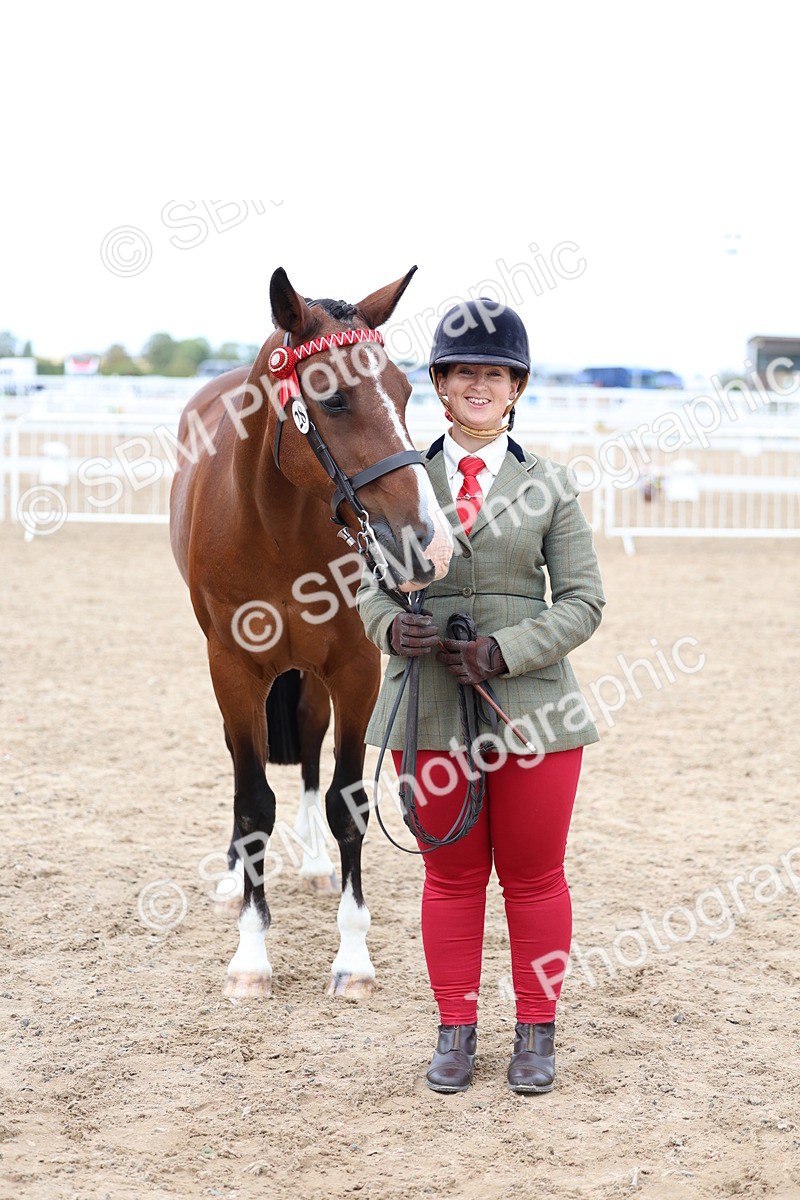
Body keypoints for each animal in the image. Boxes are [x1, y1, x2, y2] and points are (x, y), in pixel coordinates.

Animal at [169, 266, 453, 999]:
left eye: (406, 392)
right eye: (332, 398)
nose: (429, 543)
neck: (276, 529)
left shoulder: (355, 670)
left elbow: (346, 801)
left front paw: (352, 956)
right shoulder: (233, 671)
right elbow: (251, 803)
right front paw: (250, 955)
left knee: (310, 749)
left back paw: (319, 865)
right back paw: (232, 880)